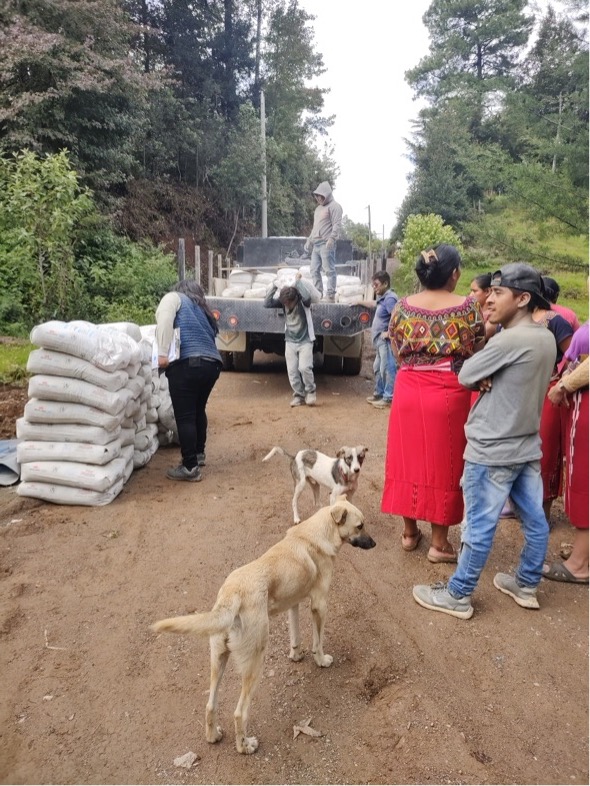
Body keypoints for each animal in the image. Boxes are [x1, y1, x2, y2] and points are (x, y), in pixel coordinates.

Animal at [152, 498, 375, 755]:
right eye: (360, 526)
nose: (374, 543)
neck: (317, 533)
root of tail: (232, 594)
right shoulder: (319, 604)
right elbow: (318, 642)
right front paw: (321, 660)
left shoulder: (294, 603)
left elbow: (295, 636)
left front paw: (296, 656)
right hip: (255, 662)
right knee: (239, 713)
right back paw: (245, 746)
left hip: (218, 659)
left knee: (210, 705)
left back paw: (213, 736)